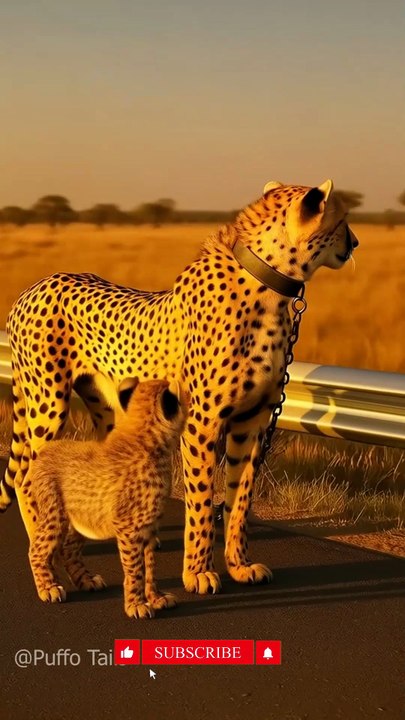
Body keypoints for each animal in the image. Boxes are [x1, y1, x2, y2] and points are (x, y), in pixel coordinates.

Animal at [26, 376, 187, 618]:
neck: (148, 440)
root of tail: (48, 447)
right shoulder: (128, 527)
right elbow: (136, 569)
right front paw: (136, 605)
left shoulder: (149, 527)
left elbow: (150, 565)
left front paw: (156, 598)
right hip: (56, 514)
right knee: (38, 549)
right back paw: (48, 587)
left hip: (81, 514)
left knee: (67, 549)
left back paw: (86, 580)